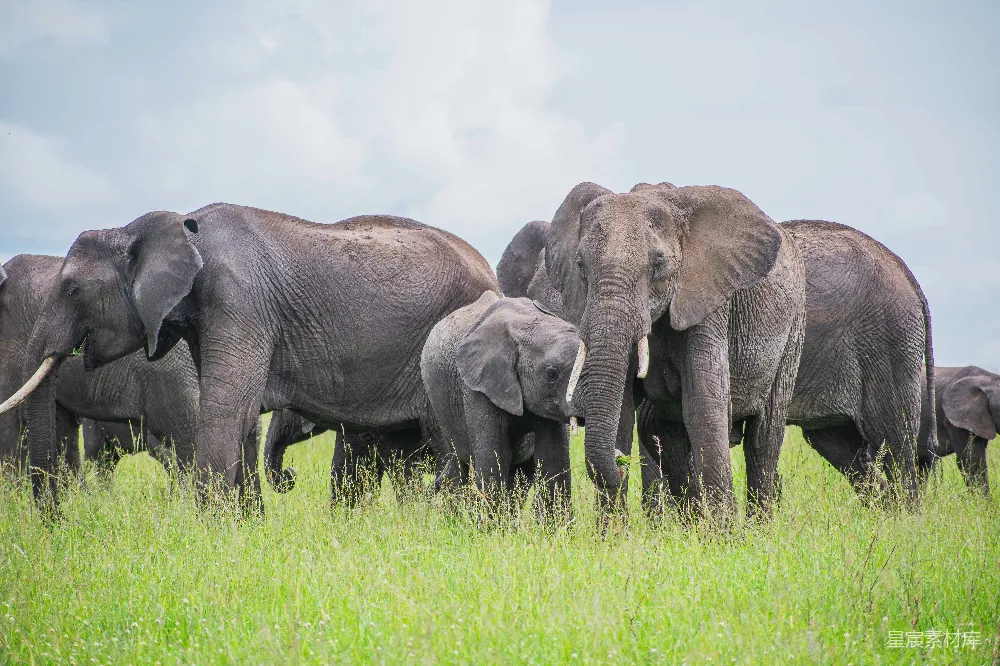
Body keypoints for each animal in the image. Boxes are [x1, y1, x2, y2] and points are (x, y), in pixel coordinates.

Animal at [420, 291, 580, 513]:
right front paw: (495, 523)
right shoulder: (476, 386)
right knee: (459, 464)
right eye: (551, 374)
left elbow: (553, 457)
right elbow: (494, 458)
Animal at [541, 181, 807, 518]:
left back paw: (757, 528)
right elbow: (622, 408)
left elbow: (704, 405)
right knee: (670, 438)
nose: (619, 459)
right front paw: (613, 532)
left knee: (763, 440)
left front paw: (724, 532)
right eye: (580, 265)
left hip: (793, 329)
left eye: (658, 265)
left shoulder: (708, 302)